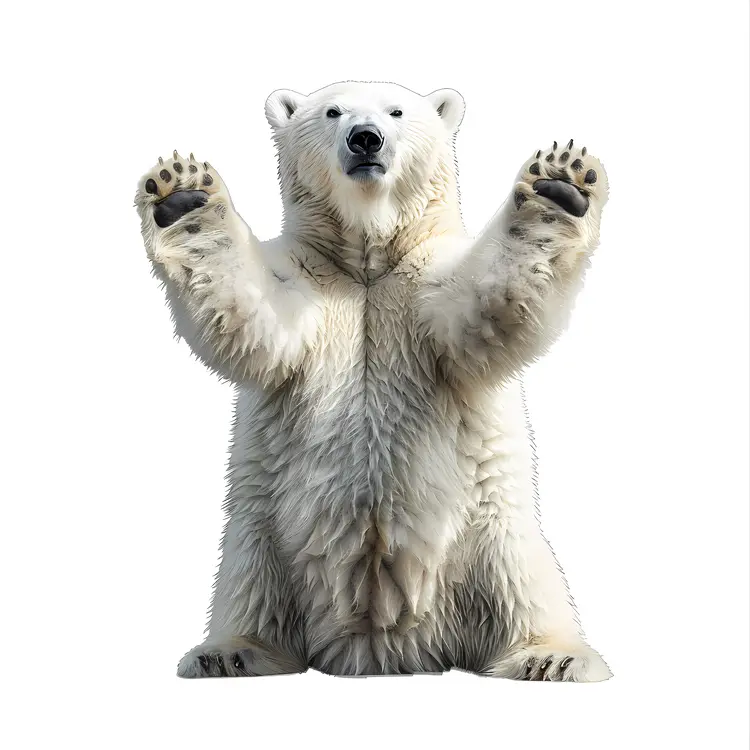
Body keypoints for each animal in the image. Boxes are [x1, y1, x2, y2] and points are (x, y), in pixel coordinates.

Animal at [135, 81, 611, 681]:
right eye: (332, 111)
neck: (367, 260)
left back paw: (550, 654)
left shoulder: (422, 283)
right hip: (263, 534)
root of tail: (386, 646)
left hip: (492, 532)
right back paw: (230, 651)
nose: (366, 138)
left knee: (523, 584)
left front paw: (561, 183)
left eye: (397, 111)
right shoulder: (309, 279)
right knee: (251, 588)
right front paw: (180, 196)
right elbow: (257, 322)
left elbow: (484, 306)